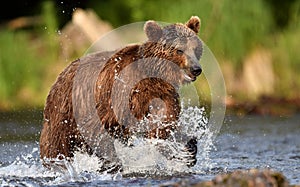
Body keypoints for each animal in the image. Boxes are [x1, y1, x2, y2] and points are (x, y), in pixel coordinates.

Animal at [39, 16, 203, 171]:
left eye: (195, 48)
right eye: (179, 50)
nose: (196, 69)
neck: (153, 73)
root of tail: (60, 75)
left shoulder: (161, 93)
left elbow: (164, 122)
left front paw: (187, 148)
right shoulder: (119, 94)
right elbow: (99, 131)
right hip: (64, 112)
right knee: (56, 145)